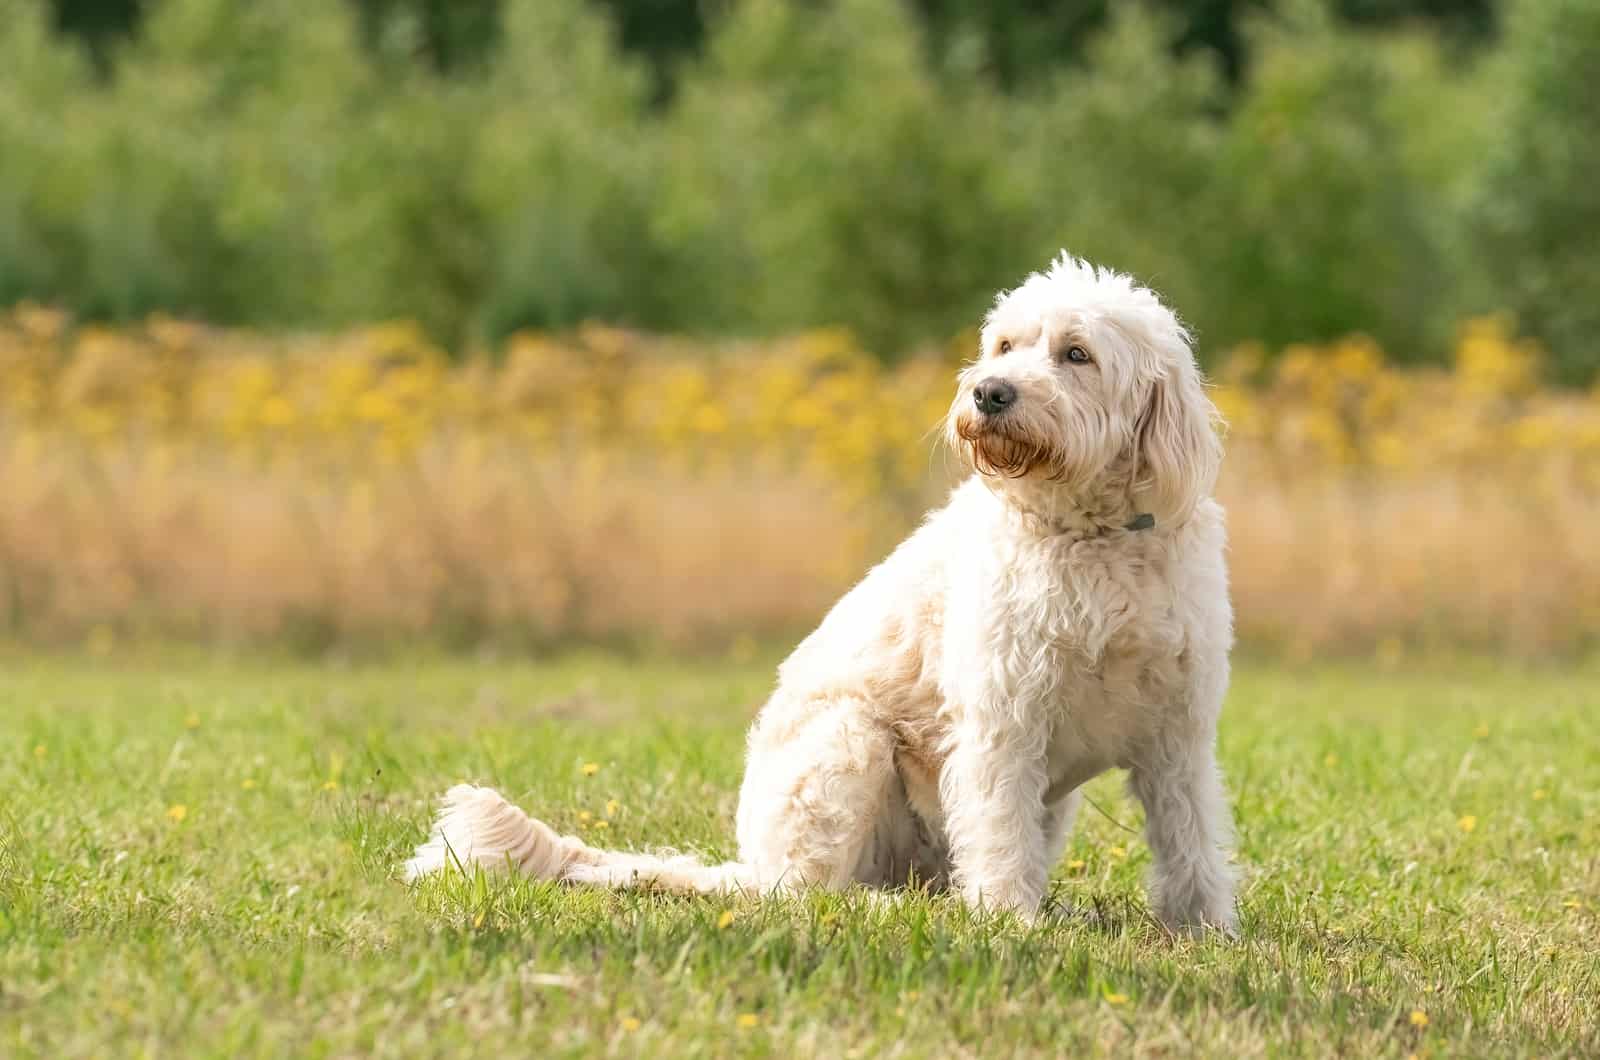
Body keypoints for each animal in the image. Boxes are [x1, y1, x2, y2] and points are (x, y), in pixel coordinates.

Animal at [409, 256, 1235, 941]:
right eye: (1005, 344)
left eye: (1076, 354)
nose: (988, 393)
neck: (1093, 541)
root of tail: (745, 862)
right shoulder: (1003, 727)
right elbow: (1001, 839)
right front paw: (1010, 923)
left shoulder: (1179, 736)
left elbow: (1193, 840)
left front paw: (1208, 931)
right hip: (847, 740)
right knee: (806, 892)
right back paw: (886, 908)